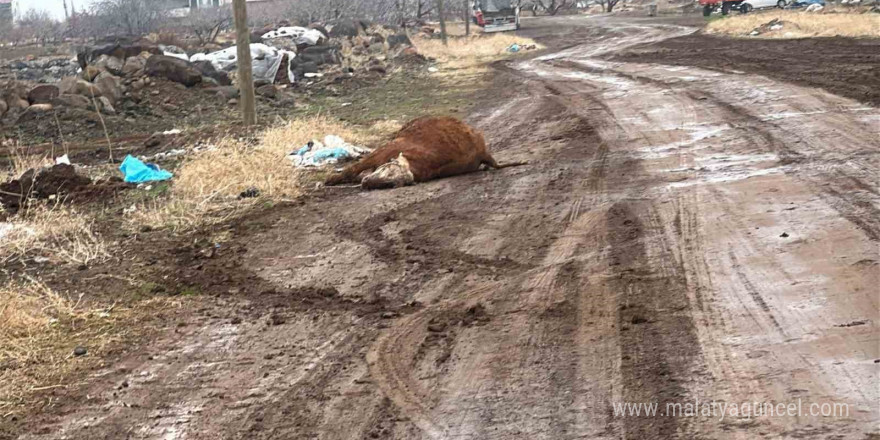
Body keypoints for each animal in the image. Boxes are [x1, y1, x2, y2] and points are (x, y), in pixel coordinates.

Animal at [326, 115, 524, 189]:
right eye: (388, 171)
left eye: (393, 183)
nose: (368, 184)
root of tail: (482, 151)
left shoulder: (383, 152)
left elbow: (353, 169)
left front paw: (330, 180)